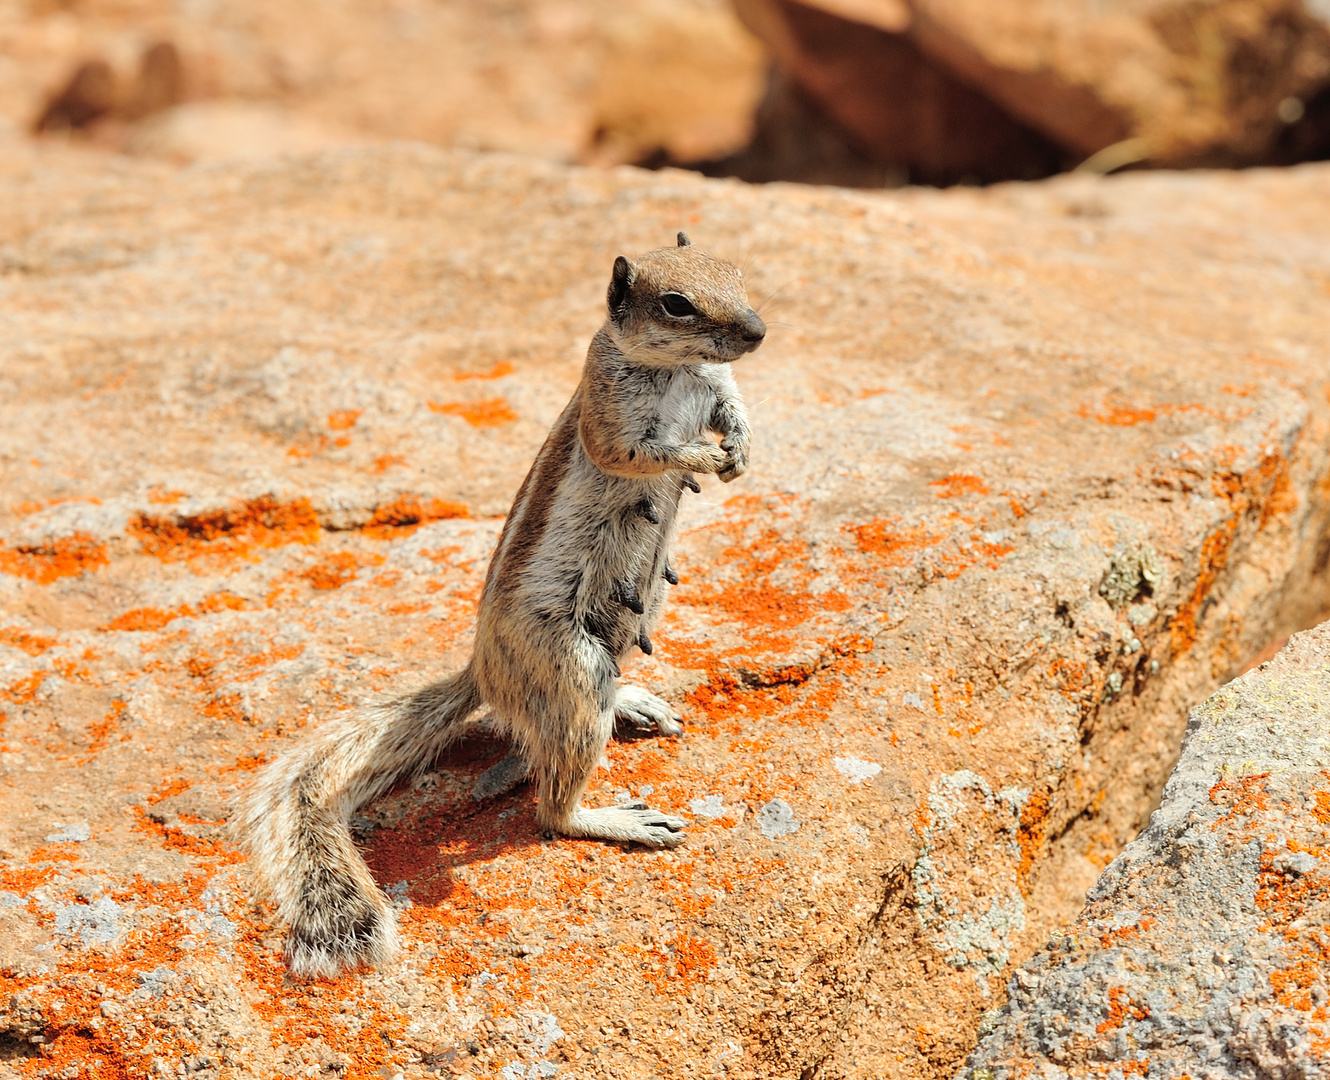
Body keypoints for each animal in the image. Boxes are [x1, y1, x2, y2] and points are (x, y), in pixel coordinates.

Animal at [234, 231, 766, 973]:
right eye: (676, 303)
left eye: (736, 271)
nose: (759, 331)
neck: (678, 370)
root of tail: (482, 671)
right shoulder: (611, 417)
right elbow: (641, 452)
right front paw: (706, 460)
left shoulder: (717, 385)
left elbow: (732, 405)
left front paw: (740, 447)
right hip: (571, 666)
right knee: (552, 810)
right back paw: (618, 818)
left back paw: (634, 701)